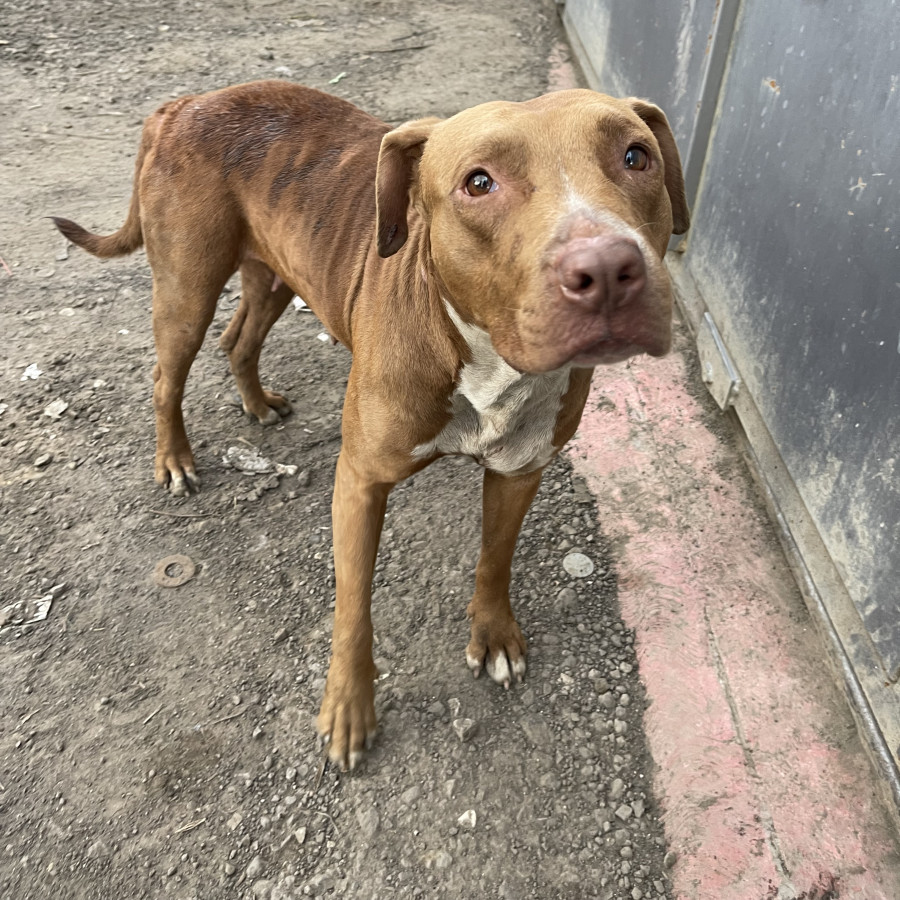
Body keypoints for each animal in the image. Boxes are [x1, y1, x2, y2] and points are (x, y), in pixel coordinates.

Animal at [54, 82, 688, 768]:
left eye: (636, 156)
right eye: (479, 182)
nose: (607, 268)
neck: (486, 359)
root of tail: (189, 101)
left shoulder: (520, 471)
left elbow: (496, 556)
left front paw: (493, 634)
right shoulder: (359, 482)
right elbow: (354, 606)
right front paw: (347, 710)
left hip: (275, 272)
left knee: (239, 339)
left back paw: (257, 403)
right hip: (186, 288)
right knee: (168, 376)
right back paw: (174, 460)